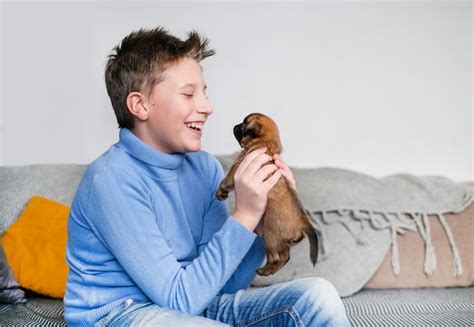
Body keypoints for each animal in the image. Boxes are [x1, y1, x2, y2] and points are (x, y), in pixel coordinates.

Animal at [217, 113, 320, 276]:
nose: (236, 125)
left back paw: (263, 271)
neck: (267, 145)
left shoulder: (237, 167)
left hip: (270, 235)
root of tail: (304, 222)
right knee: (285, 257)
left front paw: (220, 192)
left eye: (243, 125)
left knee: (277, 258)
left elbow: (226, 181)